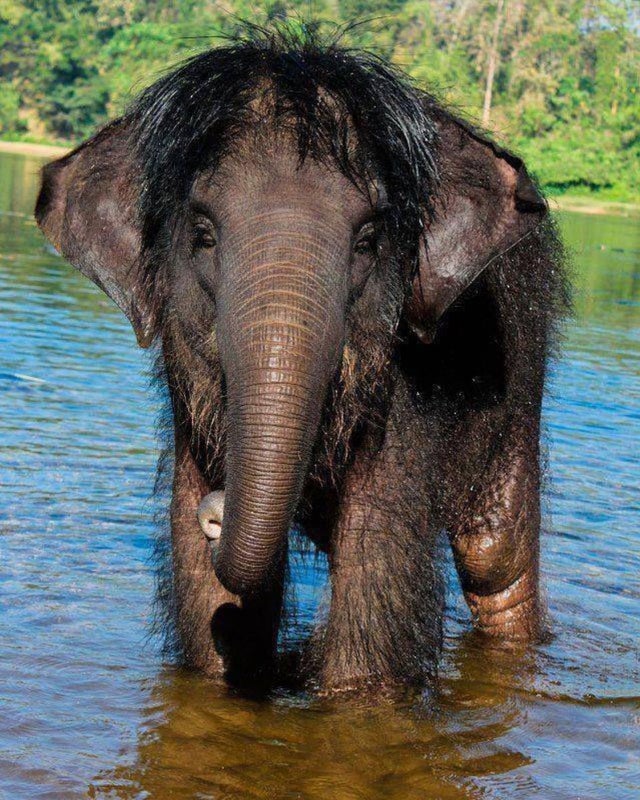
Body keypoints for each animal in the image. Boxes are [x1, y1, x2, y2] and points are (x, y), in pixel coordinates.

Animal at [35, 31, 568, 692]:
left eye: (367, 241)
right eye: (203, 235)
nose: (218, 510)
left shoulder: (408, 400)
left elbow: (371, 604)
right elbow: (210, 609)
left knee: (496, 559)